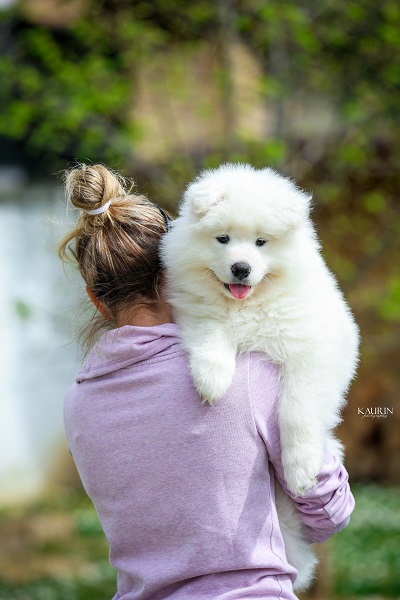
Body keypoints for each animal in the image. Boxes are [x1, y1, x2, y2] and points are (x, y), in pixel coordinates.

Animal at [159, 162, 360, 588]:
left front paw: (301, 471)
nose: (241, 268)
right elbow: (212, 334)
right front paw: (212, 381)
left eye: (261, 242)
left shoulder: (313, 351)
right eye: (222, 239)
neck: (249, 306)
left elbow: (297, 411)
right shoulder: (196, 311)